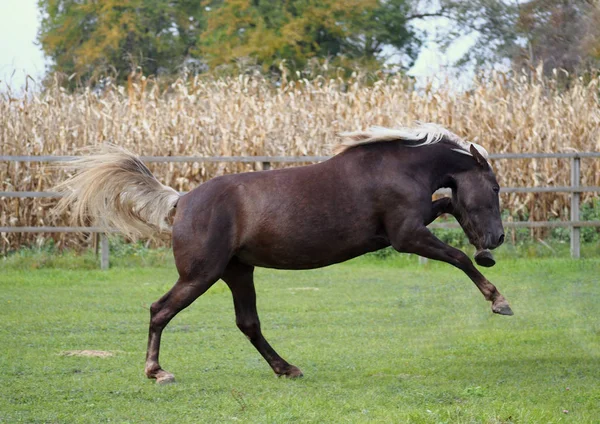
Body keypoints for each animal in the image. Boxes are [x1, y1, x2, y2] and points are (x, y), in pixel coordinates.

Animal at [56, 122, 512, 384]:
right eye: (494, 187)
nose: (497, 239)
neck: (397, 168)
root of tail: (181, 200)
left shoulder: (408, 228)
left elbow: (448, 207)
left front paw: (485, 260)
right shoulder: (406, 236)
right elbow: (458, 257)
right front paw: (499, 300)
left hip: (238, 272)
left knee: (248, 324)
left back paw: (287, 368)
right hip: (200, 274)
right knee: (160, 309)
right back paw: (157, 371)